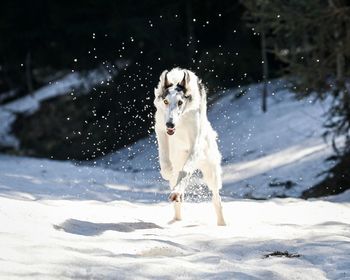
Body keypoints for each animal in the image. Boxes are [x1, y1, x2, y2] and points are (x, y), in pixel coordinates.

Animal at [154, 67, 226, 225]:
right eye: (166, 101)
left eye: (180, 102)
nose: (170, 124)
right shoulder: (160, 129)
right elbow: (164, 159)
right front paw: (167, 171)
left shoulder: (195, 144)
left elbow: (185, 171)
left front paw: (177, 191)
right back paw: (176, 219)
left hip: (211, 172)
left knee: (216, 199)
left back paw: (222, 224)